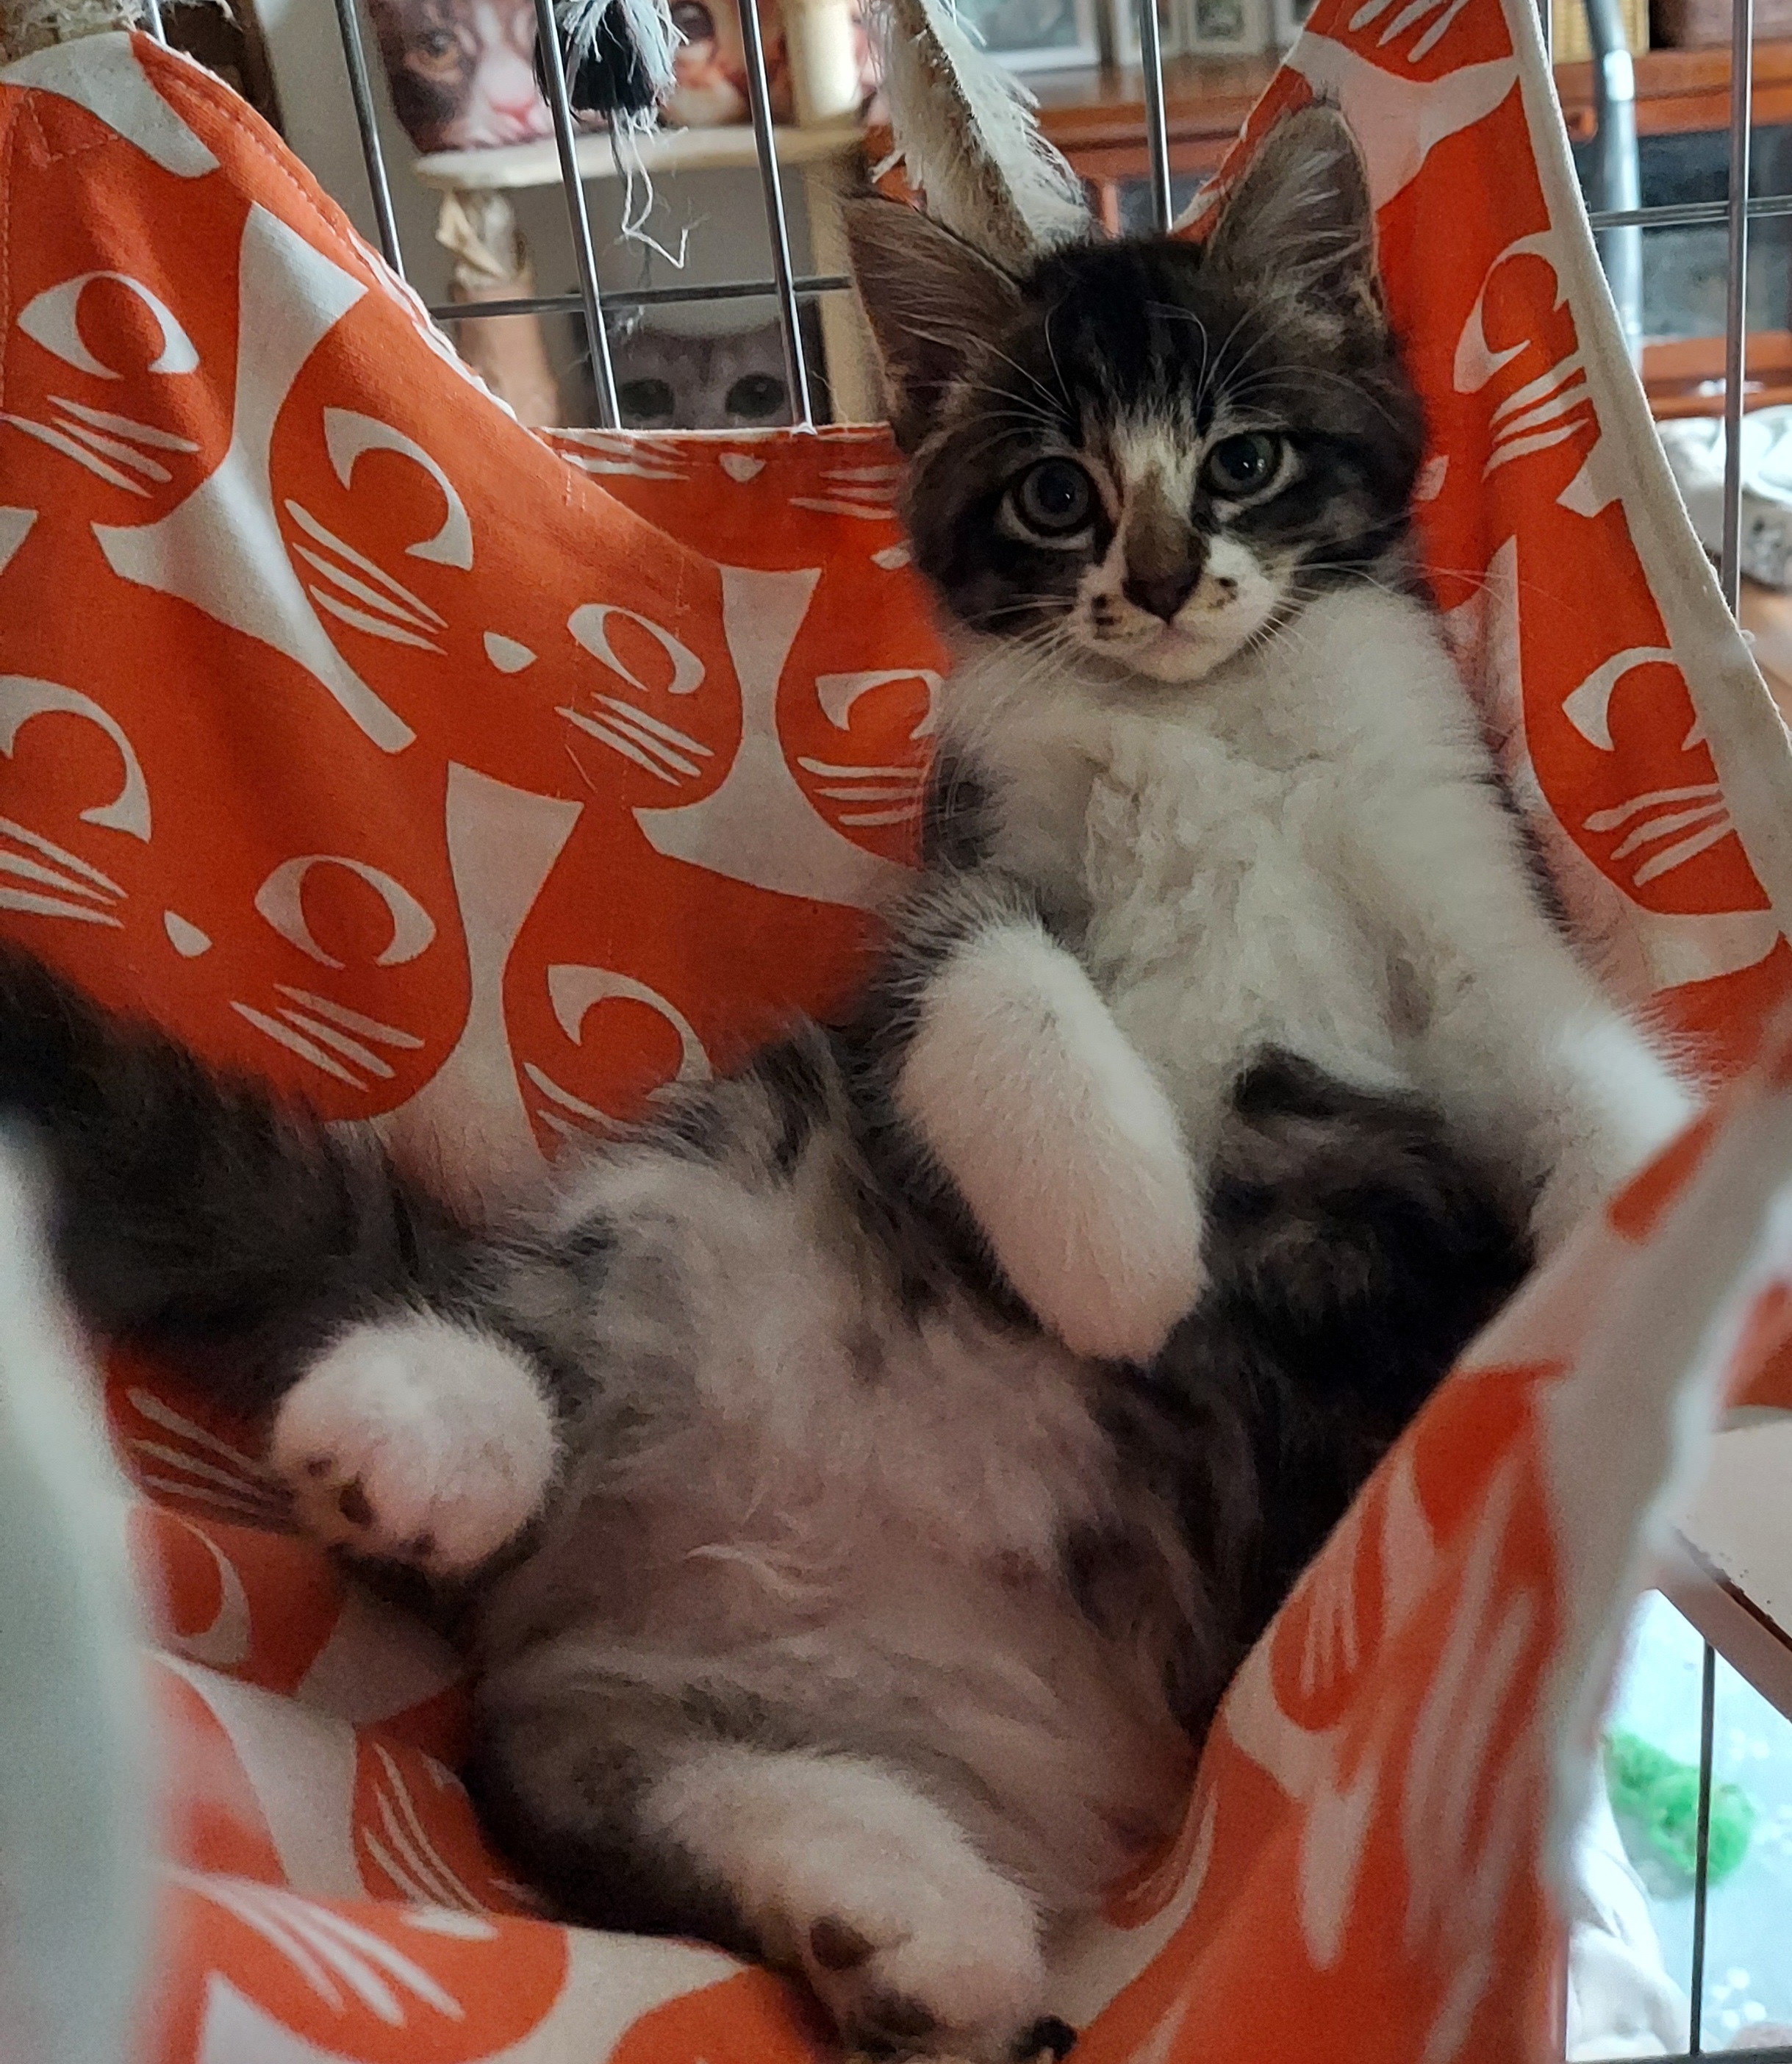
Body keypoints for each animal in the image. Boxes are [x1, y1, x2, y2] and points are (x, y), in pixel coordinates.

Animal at [0, 106, 1690, 2063]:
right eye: (1057, 497)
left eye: (1246, 462)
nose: (1162, 583)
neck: (1204, 729)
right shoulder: (950, 893)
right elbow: (995, 992)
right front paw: (1121, 1254)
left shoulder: (1465, 889)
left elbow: (1573, 1069)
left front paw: (1677, 1300)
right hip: (722, 1164)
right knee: (513, 1366)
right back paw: (425, 1429)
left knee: (607, 1781)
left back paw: (894, 1910)